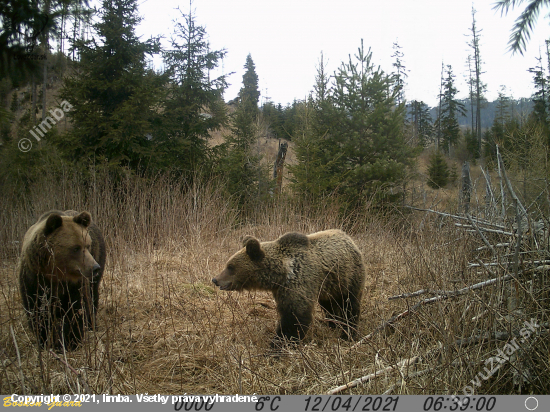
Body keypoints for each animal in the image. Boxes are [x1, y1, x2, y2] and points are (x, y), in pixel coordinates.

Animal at [18, 211, 106, 350]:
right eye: (75, 248)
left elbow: (76, 308)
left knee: (93, 294)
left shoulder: (74, 284)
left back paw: (92, 324)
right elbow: (37, 311)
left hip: (99, 255)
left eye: (87, 245)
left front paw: (71, 342)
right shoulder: (34, 279)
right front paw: (45, 341)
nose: (95, 268)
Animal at [215, 230, 366, 346]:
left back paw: (348, 333)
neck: (280, 274)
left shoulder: (298, 283)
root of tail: (349, 238)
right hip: (329, 286)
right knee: (329, 305)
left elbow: (295, 317)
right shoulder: (281, 290)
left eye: (230, 266)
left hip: (349, 277)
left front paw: (277, 345)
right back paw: (333, 323)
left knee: (350, 305)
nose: (215, 279)